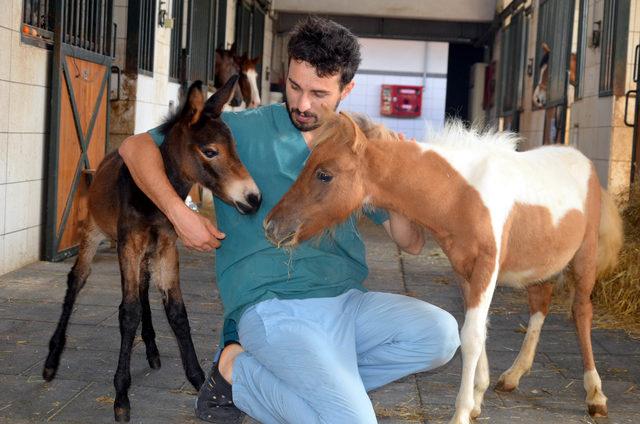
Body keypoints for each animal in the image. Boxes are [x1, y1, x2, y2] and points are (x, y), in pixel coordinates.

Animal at [43, 78, 262, 422]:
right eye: (210, 151)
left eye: (236, 149)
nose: (254, 198)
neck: (153, 197)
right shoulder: (129, 244)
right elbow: (128, 311)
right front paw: (121, 396)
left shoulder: (167, 245)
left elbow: (177, 312)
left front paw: (198, 378)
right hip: (94, 233)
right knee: (77, 280)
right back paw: (52, 360)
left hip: (147, 251)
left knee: (144, 287)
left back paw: (152, 348)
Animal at [262, 112, 624, 424]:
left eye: (324, 174)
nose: (271, 226)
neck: (461, 193)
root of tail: (585, 164)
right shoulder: (464, 271)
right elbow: (477, 330)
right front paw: (477, 399)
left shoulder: (487, 268)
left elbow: (473, 335)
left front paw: (462, 412)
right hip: (541, 267)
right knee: (540, 306)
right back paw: (513, 376)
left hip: (584, 258)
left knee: (581, 312)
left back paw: (596, 395)